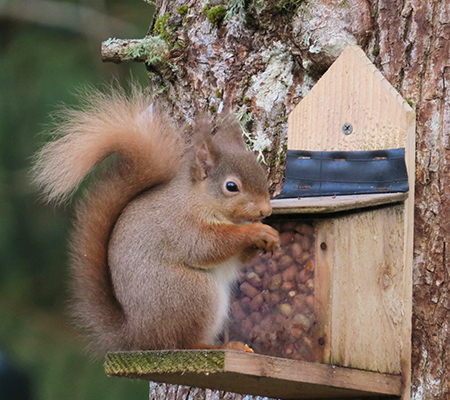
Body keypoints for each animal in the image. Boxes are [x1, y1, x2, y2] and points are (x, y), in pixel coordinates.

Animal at [32, 86, 278, 354]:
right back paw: (221, 347)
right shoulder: (181, 224)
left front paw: (270, 237)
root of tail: (138, 335)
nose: (266, 211)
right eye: (231, 187)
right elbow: (207, 246)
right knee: (181, 343)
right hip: (192, 293)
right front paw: (255, 232)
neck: (199, 199)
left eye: (261, 173)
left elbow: (238, 258)